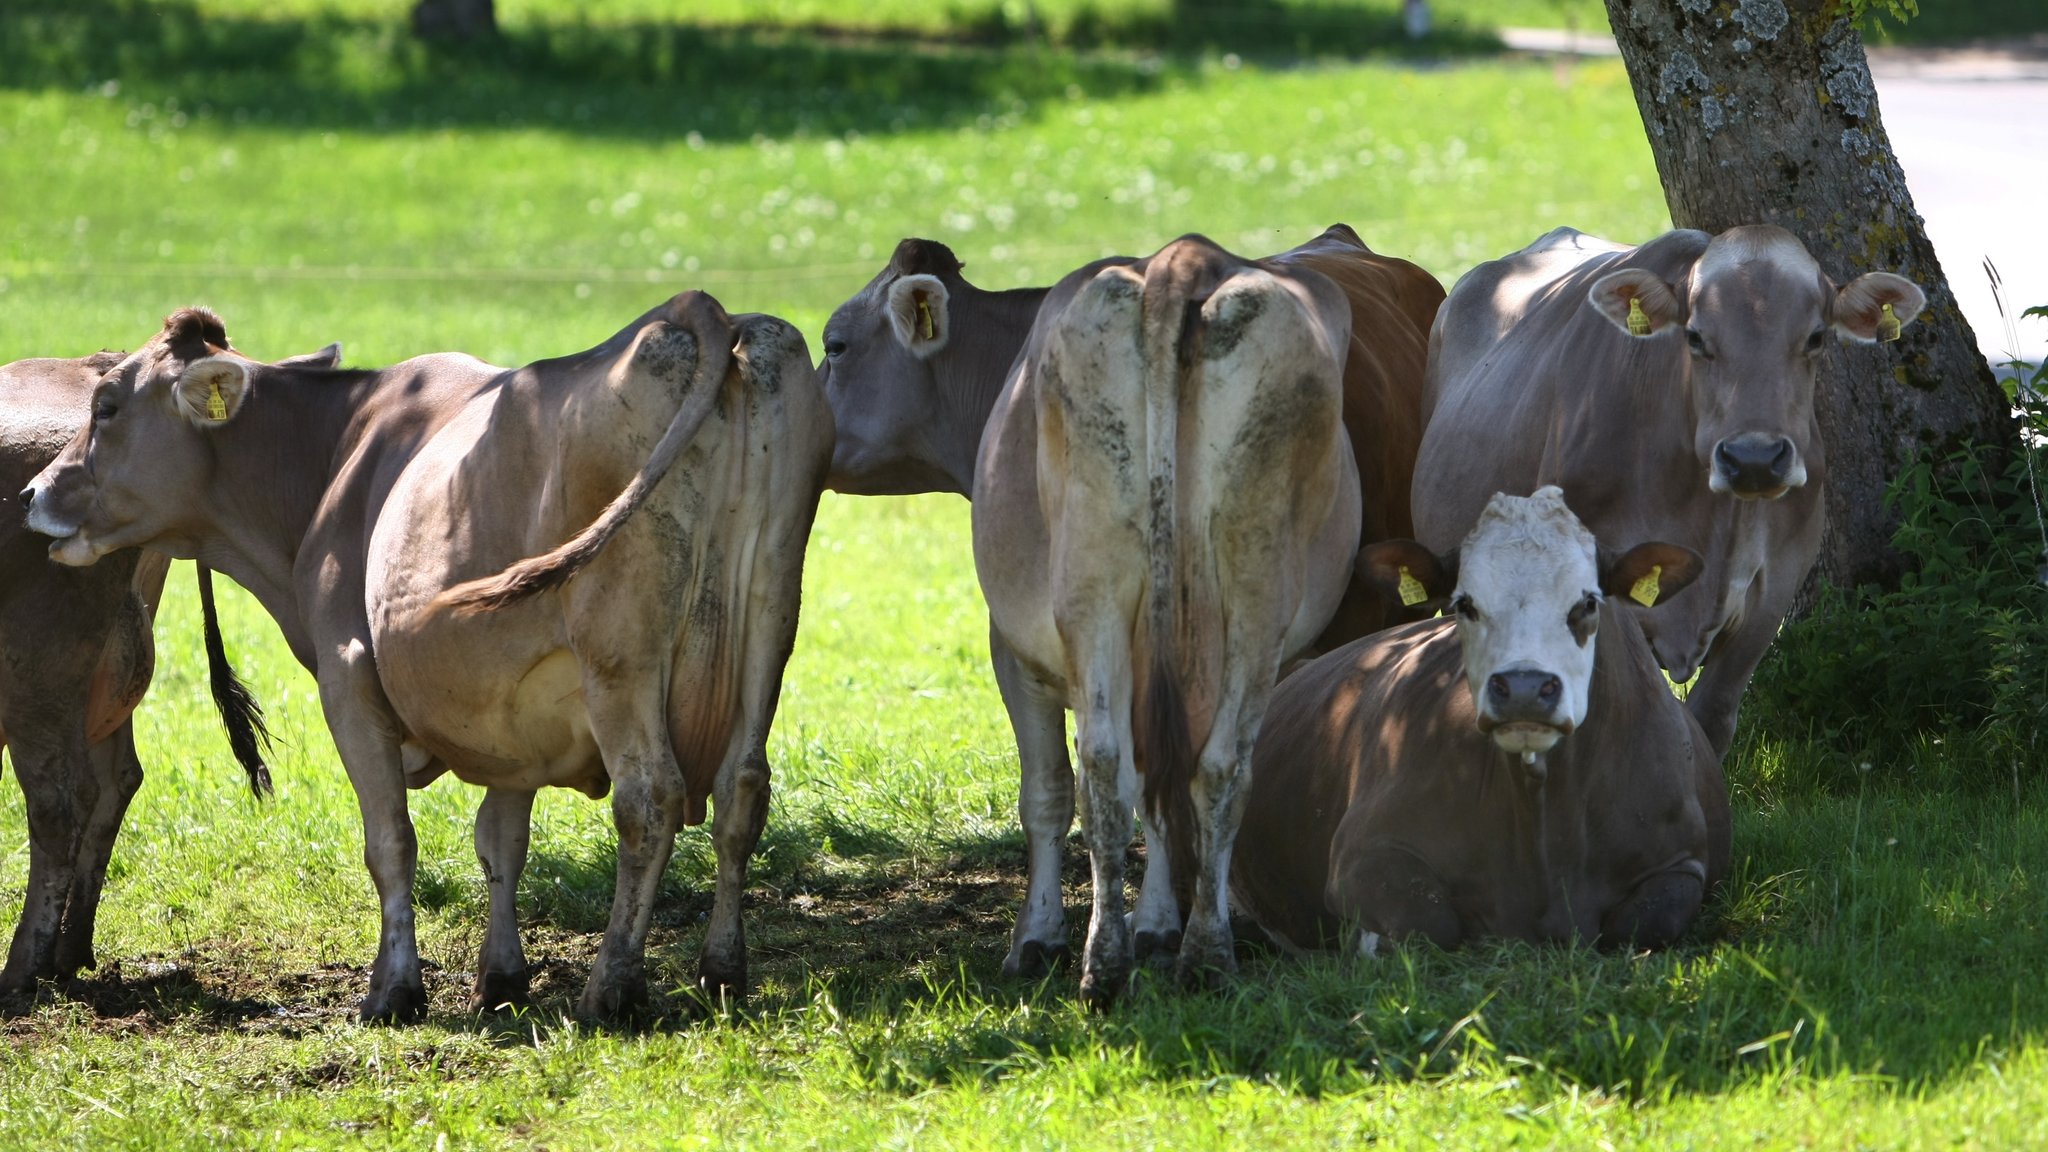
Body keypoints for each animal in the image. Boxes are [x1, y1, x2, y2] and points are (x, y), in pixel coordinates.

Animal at [819, 226, 1441, 988]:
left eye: (835, 344)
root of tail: (1184, 258)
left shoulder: (1012, 648)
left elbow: (1049, 792)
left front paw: (1041, 937)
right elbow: (1159, 786)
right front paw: (1159, 925)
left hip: (1098, 593)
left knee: (1104, 771)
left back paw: (1107, 963)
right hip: (1257, 595)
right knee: (1220, 769)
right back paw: (1206, 950)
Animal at [1228, 483, 1728, 951]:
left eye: (1588, 603)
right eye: (1464, 604)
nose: (1524, 688)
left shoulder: (1680, 863)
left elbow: (1646, 924)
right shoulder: (1363, 853)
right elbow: (1429, 922)